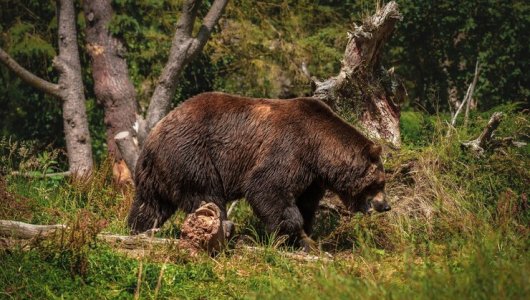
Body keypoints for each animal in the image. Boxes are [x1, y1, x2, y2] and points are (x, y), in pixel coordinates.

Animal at [126, 92, 386, 251]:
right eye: (379, 183)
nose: (386, 205)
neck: (319, 150)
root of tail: (153, 135)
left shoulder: (311, 178)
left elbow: (305, 203)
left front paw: (305, 238)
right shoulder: (290, 148)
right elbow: (267, 188)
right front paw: (295, 238)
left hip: (157, 173)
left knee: (149, 205)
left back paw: (136, 229)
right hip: (191, 155)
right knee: (207, 196)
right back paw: (227, 230)